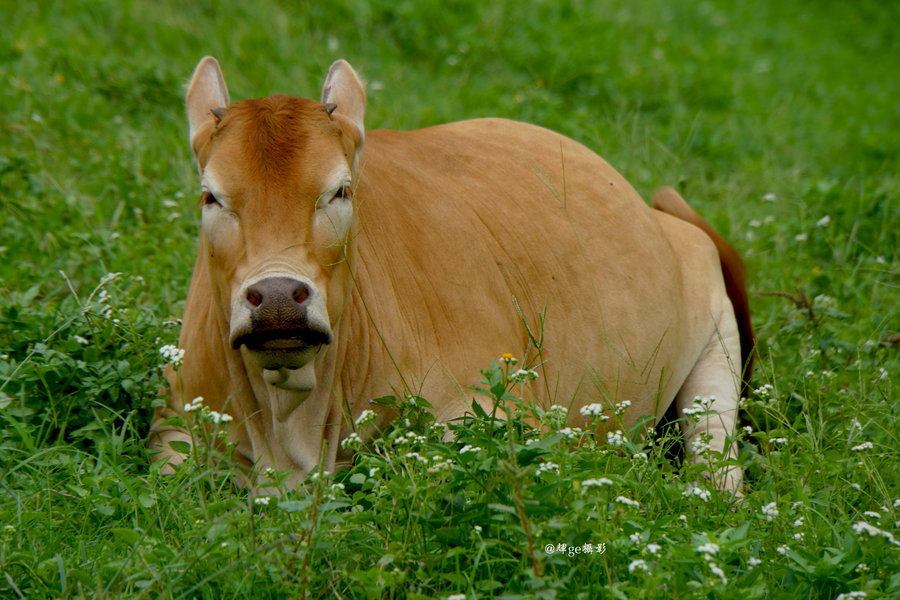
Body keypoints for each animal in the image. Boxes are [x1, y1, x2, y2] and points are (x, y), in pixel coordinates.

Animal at [149, 56, 752, 494]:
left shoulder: (498, 419)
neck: (292, 422)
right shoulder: (176, 419)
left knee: (717, 470)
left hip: (715, 346)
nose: (277, 295)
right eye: (211, 196)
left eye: (340, 190)